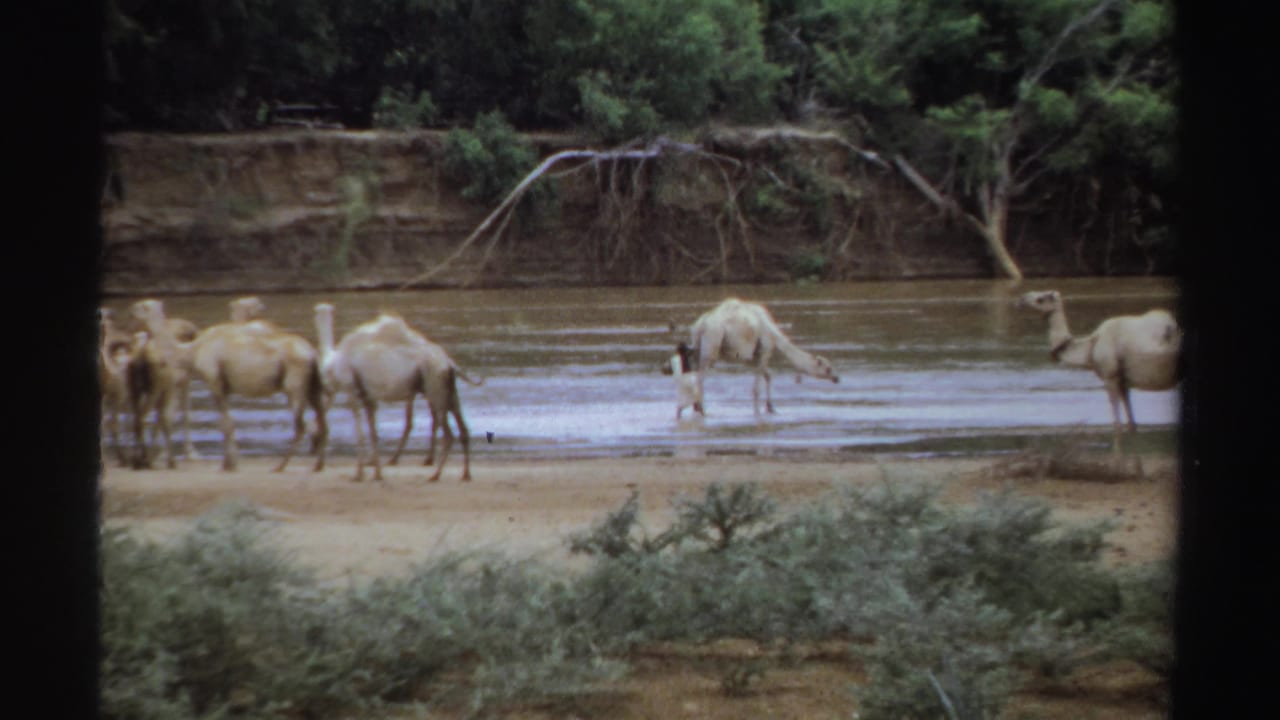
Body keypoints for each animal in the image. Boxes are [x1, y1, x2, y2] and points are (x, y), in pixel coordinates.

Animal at [132, 298, 328, 472]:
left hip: (294, 387)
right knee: (321, 420)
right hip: (312, 388)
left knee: (301, 425)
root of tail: (312, 352)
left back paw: (280, 466)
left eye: (143, 306)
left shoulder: (214, 382)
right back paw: (317, 465)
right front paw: (231, 463)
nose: (131, 309)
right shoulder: (224, 387)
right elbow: (228, 423)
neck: (192, 350)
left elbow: (224, 424)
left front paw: (227, 465)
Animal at [314, 304, 479, 482]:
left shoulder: (352, 390)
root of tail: (448, 363)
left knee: (448, 434)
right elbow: (373, 432)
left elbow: (360, 433)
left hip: (435, 388)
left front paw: (359, 474)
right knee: (463, 430)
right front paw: (376, 473)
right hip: (448, 392)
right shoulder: (368, 396)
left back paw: (435, 475)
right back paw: (465, 474)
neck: (335, 361)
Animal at [688, 298, 840, 415]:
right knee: (701, 377)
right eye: (828, 368)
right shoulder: (765, 350)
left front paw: (771, 408)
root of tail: (701, 324)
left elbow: (768, 375)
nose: (836, 378)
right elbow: (757, 388)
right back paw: (702, 409)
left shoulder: (751, 357)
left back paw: (696, 407)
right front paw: (759, 411)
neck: (774, 333)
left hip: (698, 347)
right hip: (712, 341)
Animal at [1018, 290, 1181, 453]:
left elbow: (1117, 425)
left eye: (1040, 299)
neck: (1090, 348)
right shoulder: (1123, 382)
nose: (1021, 300)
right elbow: (1131, 424)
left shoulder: (1110, 378)